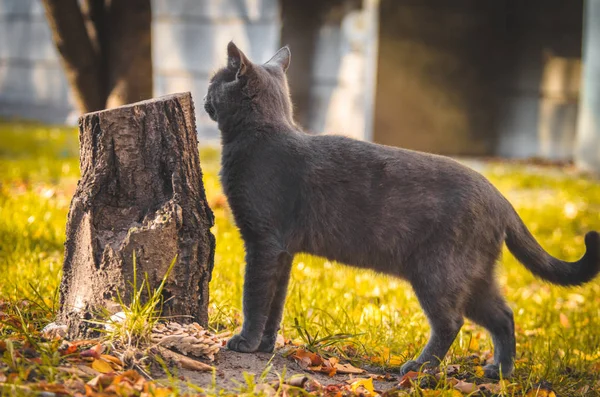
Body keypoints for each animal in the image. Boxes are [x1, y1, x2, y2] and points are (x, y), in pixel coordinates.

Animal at [203, 41, 600, 378]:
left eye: (213, 82)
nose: (204, 96)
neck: (259, 137)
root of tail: (500, 198)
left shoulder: (263, 242)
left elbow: (255, 296)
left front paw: (245, 343)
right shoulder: (283, 252)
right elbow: (275, 302)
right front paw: (266, 346)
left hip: (438, 272)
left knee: (452, 321)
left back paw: (419, 368)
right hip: (475, 276)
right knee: (503, 315)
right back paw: (499, 371)